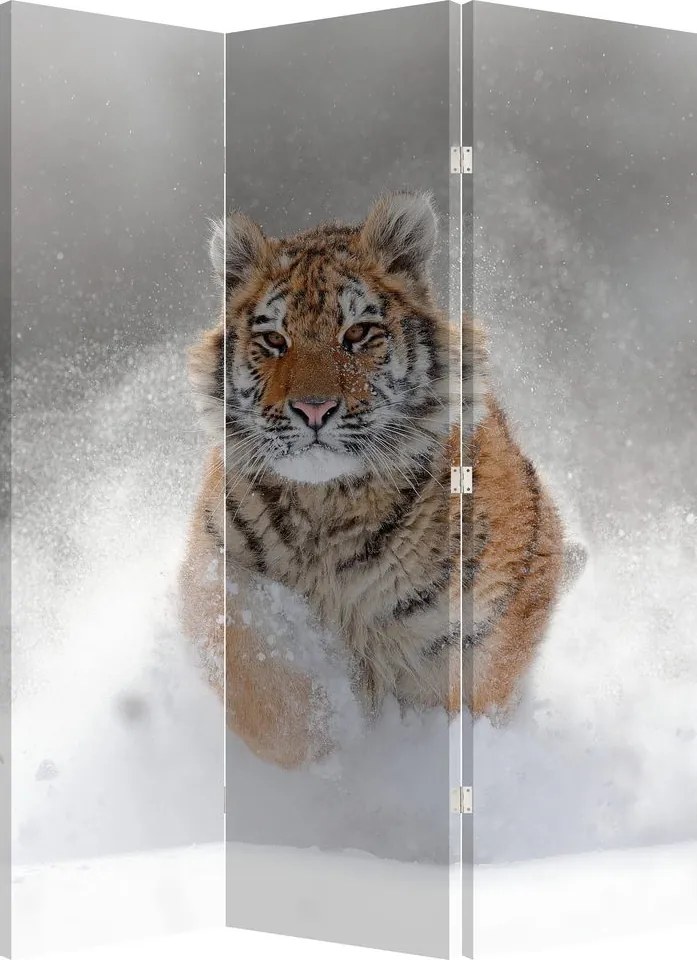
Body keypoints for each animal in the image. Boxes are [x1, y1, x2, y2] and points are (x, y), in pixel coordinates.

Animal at [178, 192, 569, 768]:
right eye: (273, 339)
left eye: (358, 333)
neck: (327, 509)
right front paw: (329, 756)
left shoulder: (482, 619)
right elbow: (268, 693)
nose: (313, 409)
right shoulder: (221, 578)